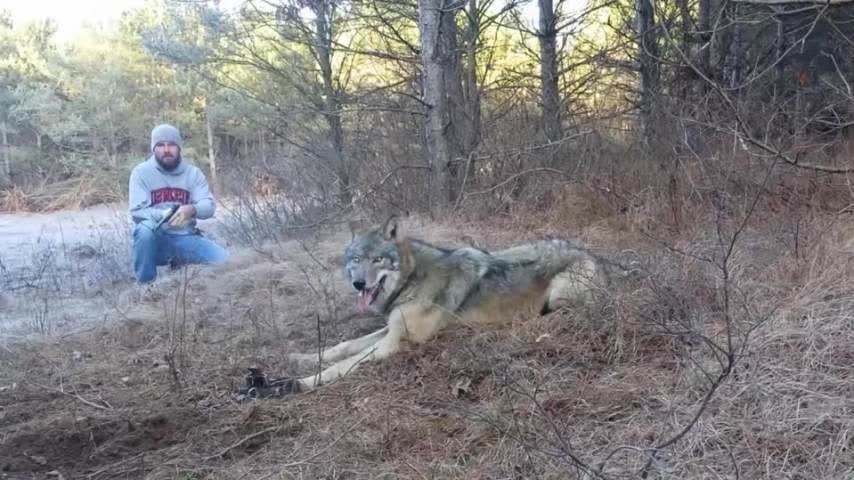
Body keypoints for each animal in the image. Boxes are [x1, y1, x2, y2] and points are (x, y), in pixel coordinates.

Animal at [290, 216, 620, 392]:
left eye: (378, 260)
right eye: (356, 260)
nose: (359, 283)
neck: (412, 279)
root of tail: (596, 257)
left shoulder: (393, 343)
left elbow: (344, 364)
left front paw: (302, 382)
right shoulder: (390, 329)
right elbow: (342, 347)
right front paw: (303, 358)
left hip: (559, 296)